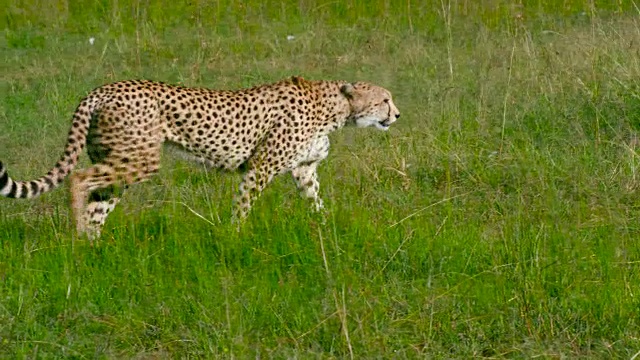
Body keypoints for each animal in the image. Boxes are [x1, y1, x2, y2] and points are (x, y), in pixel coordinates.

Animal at [0, 76, 400, 239]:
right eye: (384, 99)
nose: (396, 115)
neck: (336, 107)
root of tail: (103, 88)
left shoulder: (303, 171)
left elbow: (316, 204)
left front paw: (327, 228)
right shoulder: (260, 168)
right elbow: (243, 208)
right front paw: (234, 239)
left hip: (120, 162)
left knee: (98, 200)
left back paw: (92, 247)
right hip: (139, 159)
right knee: (77, 179)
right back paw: (79, 233)